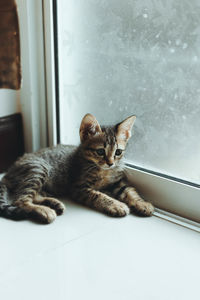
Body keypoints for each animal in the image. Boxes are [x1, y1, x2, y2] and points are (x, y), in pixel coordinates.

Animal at [0, 113, 155, 224]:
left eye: (118, 152)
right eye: (100, 151)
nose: (110, 163)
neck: (102, 170)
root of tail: (9, 170)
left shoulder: (117, 181)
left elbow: (130, 190)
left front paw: (142, 203)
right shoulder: (78, 187)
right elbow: (99, 195)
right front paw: (116, 205)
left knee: (34, 196)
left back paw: (54, 204)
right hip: (39, 168)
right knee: (20, 200)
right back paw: (45, 211)